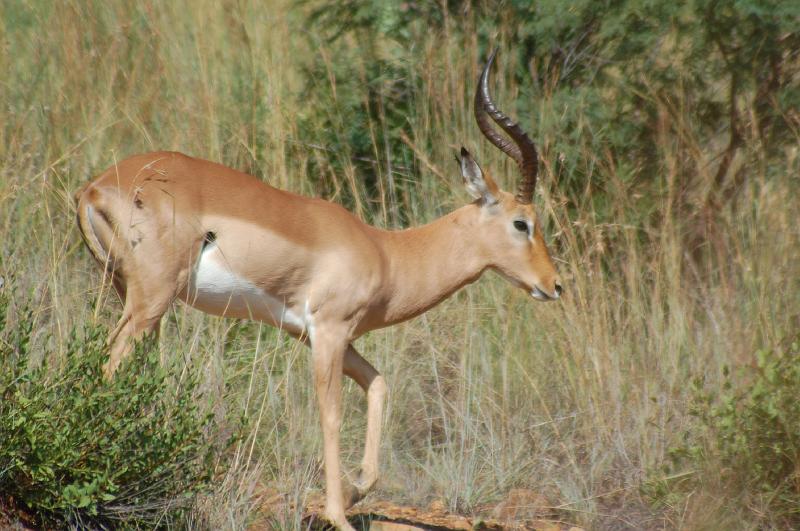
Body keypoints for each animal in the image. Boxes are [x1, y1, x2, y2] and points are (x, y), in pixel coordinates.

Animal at [74, 51, 561, 530]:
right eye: (522, 223)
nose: (554, 284)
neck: (386, 251)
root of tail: (95, 187)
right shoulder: (329, 331)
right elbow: (332, 415)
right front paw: (338, 515)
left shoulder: (314, 333)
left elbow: (379, 385)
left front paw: (355, 490)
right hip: (151, 300)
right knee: (111, 365)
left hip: (131, 294)